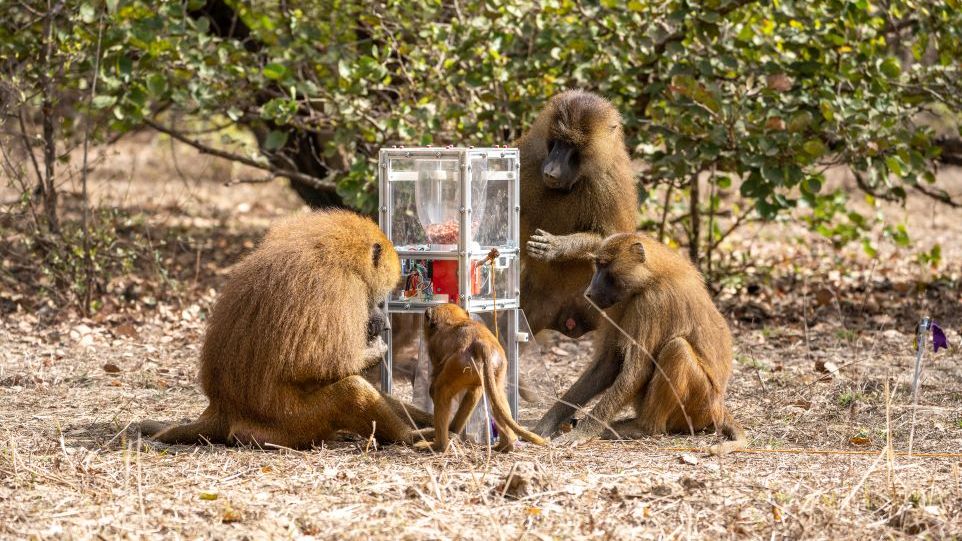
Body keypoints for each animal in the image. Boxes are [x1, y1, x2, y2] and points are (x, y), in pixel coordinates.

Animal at [138, 210, 434, 449]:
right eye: (381, 302)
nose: (386, 326)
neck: (335, 253)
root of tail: (224, 409)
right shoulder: (340, 289)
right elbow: (320, 364)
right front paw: (375, 351)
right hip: (293, 423)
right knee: (351, 391)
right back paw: (410, 437)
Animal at [416, 303, 548, 453]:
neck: (455, 320)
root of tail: (481, 343)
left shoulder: (434, 348)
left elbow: (437, 386)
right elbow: (475, 392)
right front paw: (453, 430)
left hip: (460, 364)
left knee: (440, 391)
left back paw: (440, 446)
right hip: (493, 365)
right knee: (495, 395)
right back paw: (507, 445)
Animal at [518, 89, 638, 339]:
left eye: (572, 145)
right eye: (557, 142)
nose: (550, 171)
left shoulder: (608, 183)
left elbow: (610, 238)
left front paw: (554, 246)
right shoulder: (528, 159)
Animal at [533, 232, 746, 455]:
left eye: (605, 266)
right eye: (597, 265)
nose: (589, 293)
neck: (650, 278)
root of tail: (719, 407)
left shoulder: (651, 303)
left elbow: (636, 371)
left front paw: (581, 433)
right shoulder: (620, 303)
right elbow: (607, 365)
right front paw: (547, 424)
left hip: (700, 407)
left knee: (677, 349)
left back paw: (642, 428)